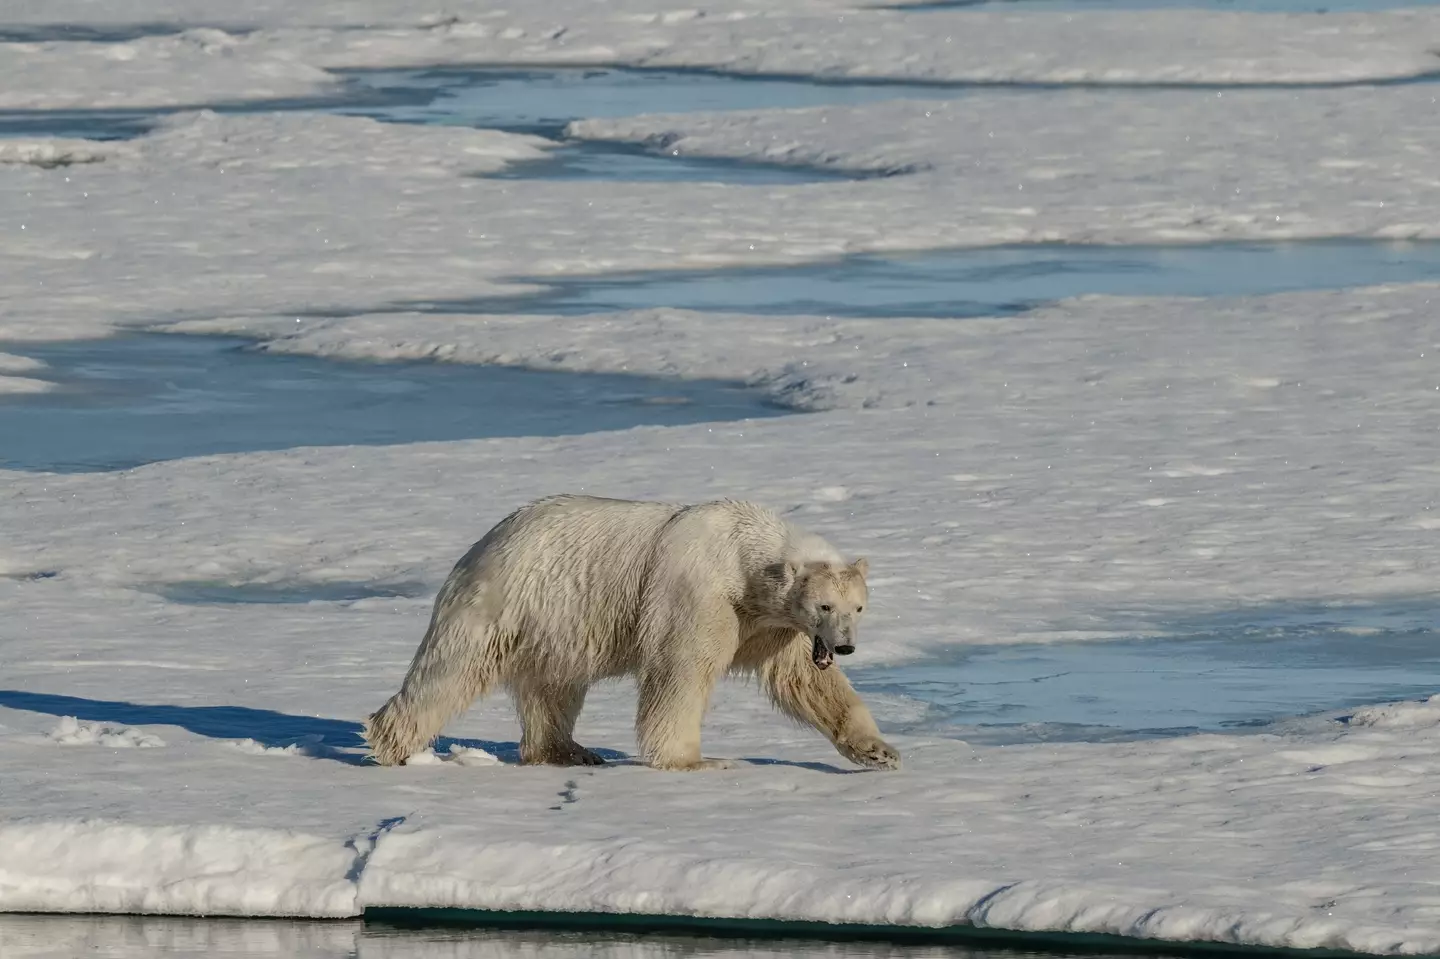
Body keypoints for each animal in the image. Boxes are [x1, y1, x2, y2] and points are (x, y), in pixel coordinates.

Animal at [363, 494, 900, 772]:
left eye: (858, 607)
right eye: (824, 605)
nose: (844, 645)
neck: (743, 556)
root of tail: (481, 545)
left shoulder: (772, 624)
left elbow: (806, 682)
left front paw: (879, 752)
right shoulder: (698, 592)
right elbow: (681, 670)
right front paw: (696, 761)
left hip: (556, 625)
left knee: (554, 687)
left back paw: (568, 751)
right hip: (507, 602)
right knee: (448, 673)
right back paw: (393, 746)